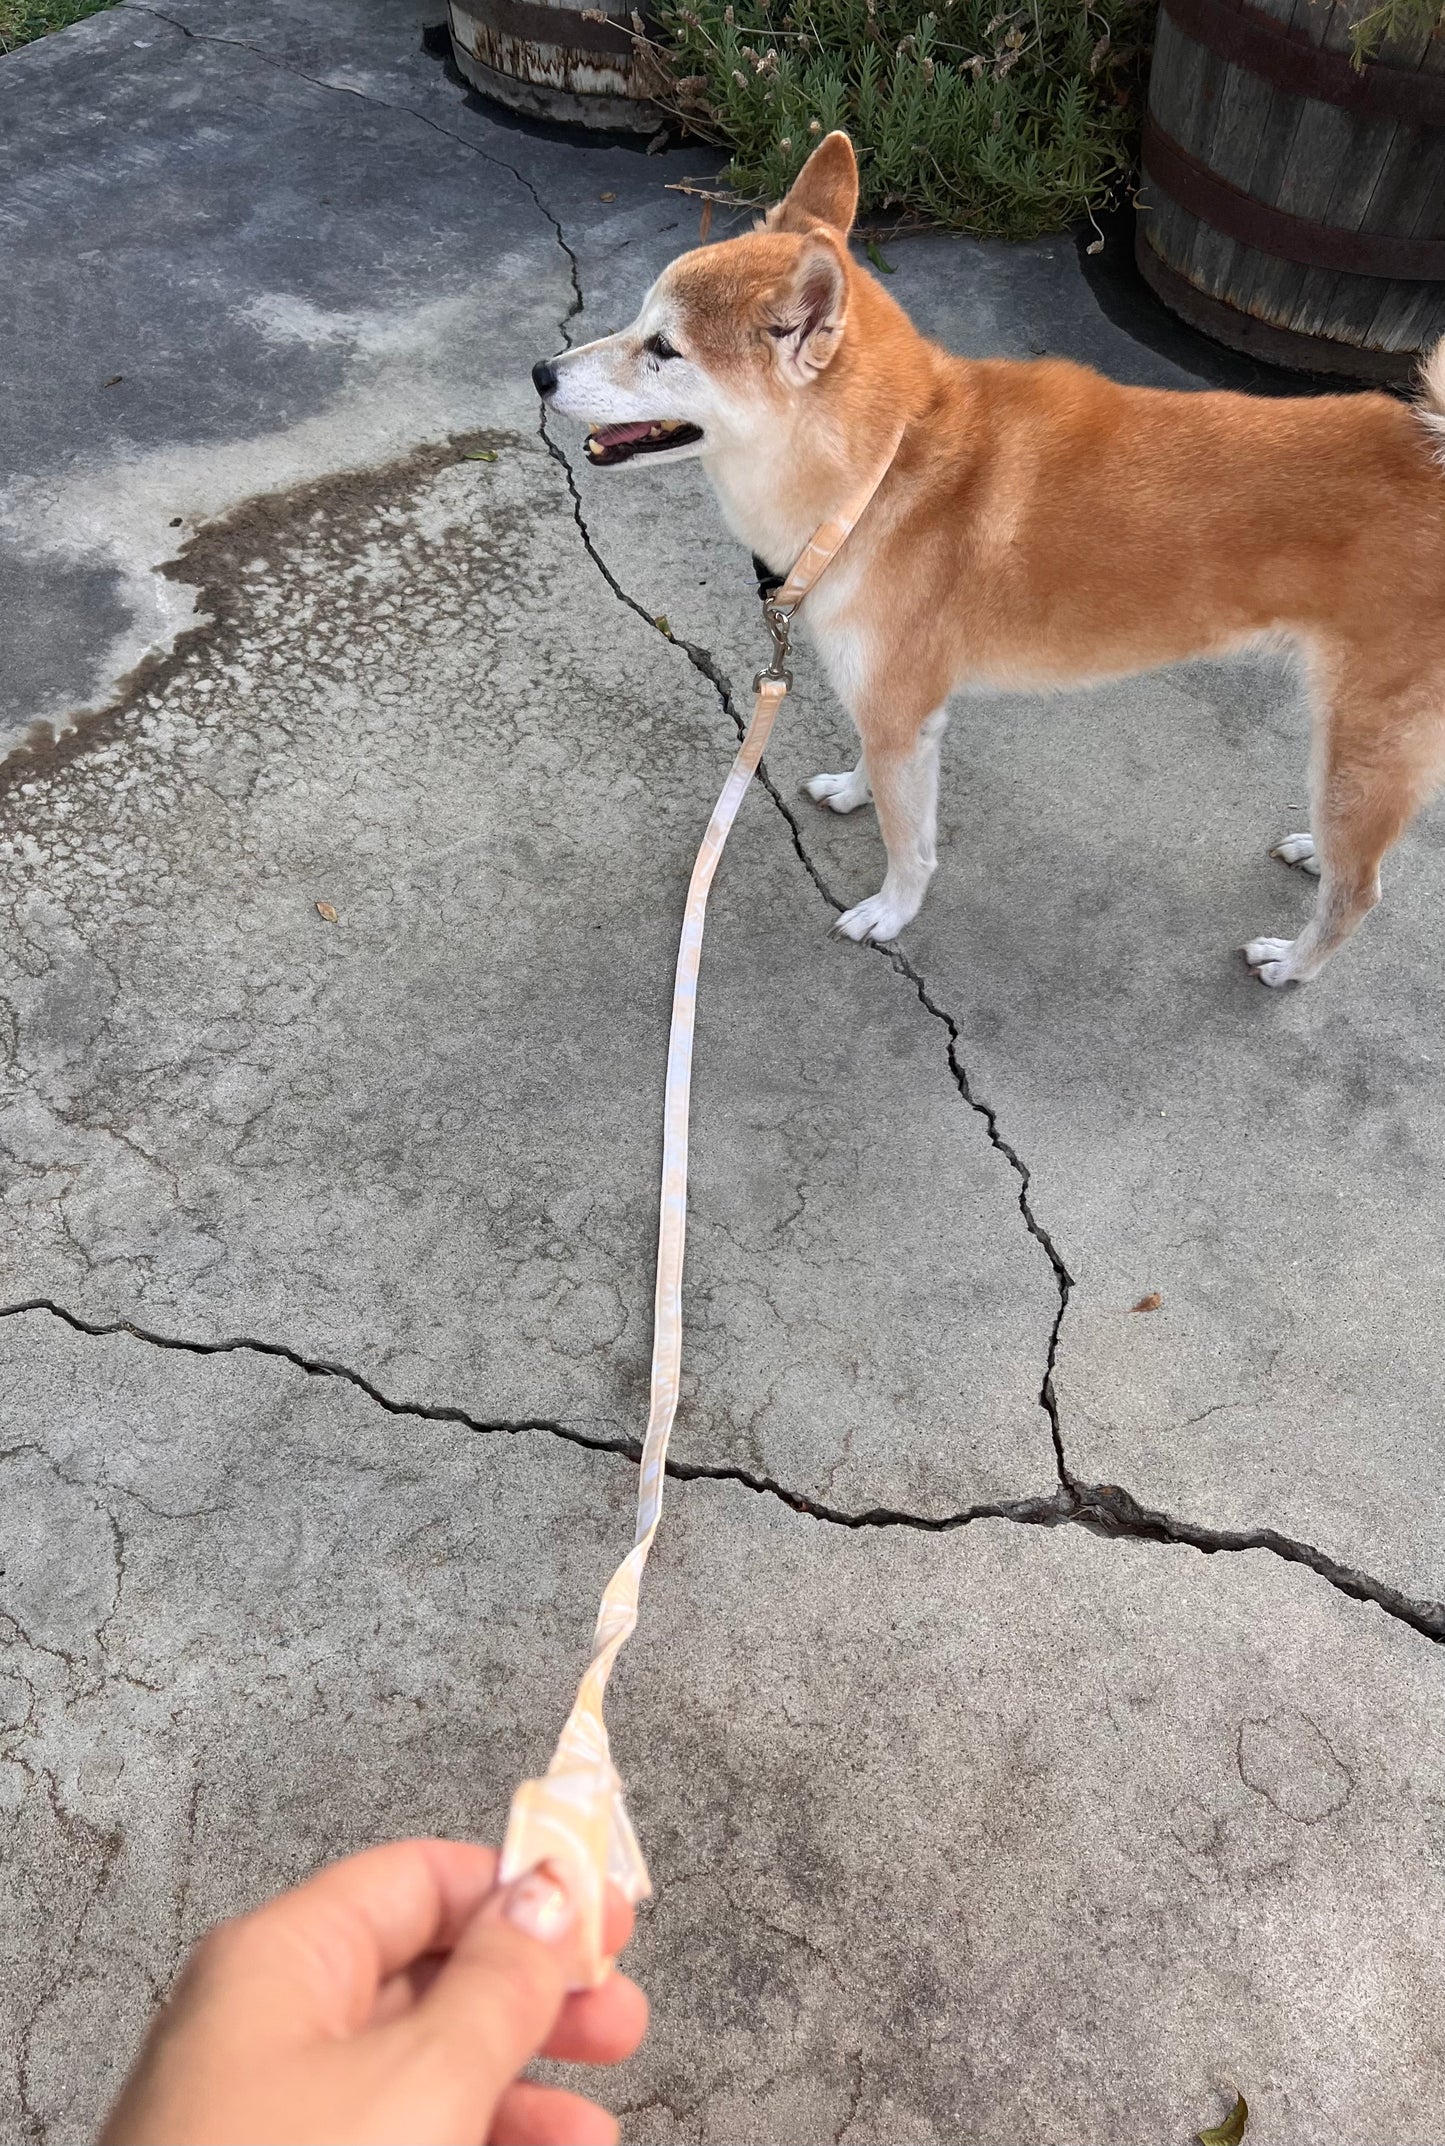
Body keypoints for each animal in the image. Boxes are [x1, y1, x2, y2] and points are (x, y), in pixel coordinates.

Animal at [530, 138, 1442, 991]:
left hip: (1362, 739)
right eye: (639, 322)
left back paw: (1294, 961)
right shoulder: (894, 709)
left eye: (663, 348)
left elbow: (909, 845)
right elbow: (875, 769)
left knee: (1361, 891)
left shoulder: (901, 710)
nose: (540, 372)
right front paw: (854, 790)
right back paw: (1315, 850)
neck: (880, 472)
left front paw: (891, 912)